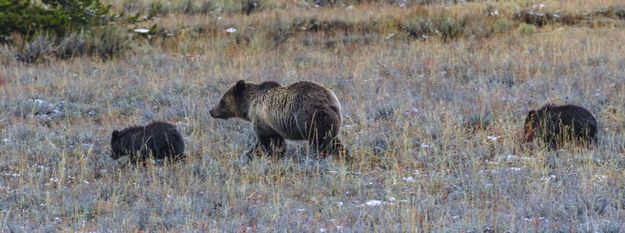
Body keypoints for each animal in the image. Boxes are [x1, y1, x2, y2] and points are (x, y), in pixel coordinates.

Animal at [208, 79, 346, 159]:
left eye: (222, 100)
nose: (211, 111)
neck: (249, 104)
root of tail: (334, 102)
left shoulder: (263, 118)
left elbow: (268, 141)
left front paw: (255, 154)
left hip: (312, 117)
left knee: (321, 141)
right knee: (333, 141)